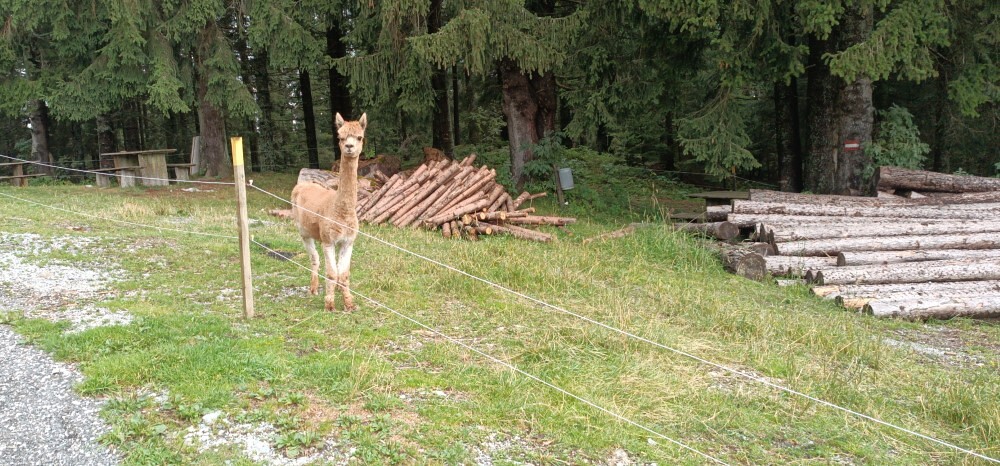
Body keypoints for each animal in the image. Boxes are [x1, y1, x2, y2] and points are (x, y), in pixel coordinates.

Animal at [291, 113, 367, 311]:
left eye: (359, 137)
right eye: (340, 137)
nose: (349, 147)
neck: (340, 212)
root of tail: (302, 184)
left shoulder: (348, 241)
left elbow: (344, 274)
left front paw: (349, 304)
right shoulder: (329, 241)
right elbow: (332, 273)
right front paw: (330, 305)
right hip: (303, 232)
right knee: (314, 258)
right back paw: (313, 289)